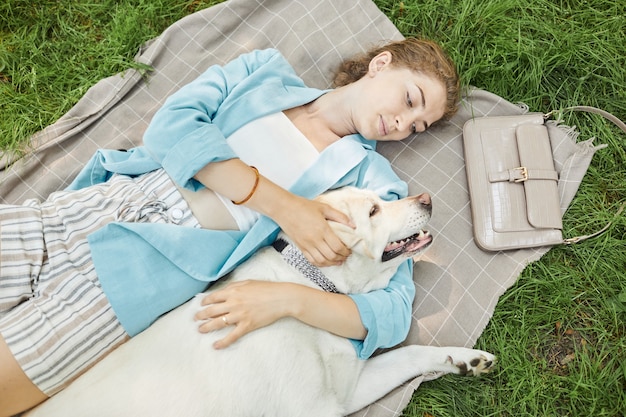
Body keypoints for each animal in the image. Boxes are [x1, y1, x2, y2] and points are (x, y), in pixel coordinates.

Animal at [25, 188, 492, 416]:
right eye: (374, 210)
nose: (427, 200)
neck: (311, 284)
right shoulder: (316, 410)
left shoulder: (345, 390)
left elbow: (411, 353)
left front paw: (462, 359)